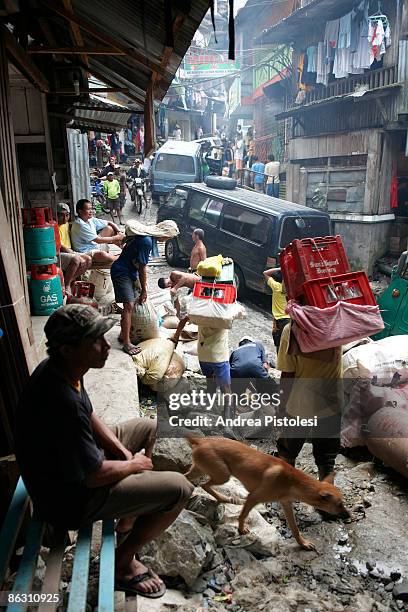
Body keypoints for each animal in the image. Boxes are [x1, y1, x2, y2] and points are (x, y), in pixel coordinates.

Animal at [185, 438, 348, 552]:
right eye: (339, 504)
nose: (349, 516)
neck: (293, 482)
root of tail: (200, 440)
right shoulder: (253, 497)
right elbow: (243, 515)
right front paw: (241, 530)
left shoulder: (286, 504)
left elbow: (294, 528)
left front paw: (303, 544)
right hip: (222, 474)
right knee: (203, 484)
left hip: (203, 470)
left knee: (194, 481)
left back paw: (220, 498)